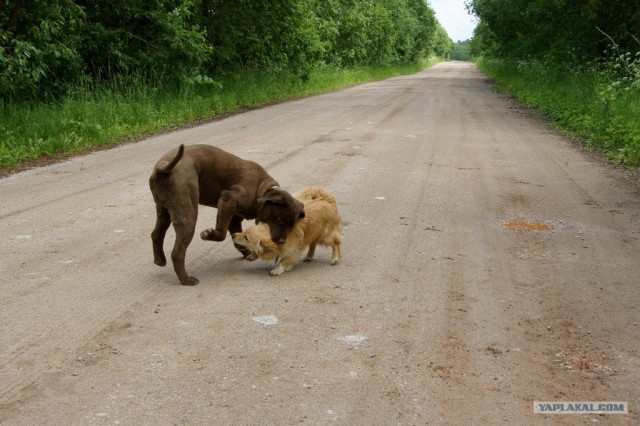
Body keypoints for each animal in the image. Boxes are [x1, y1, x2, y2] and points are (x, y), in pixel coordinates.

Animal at [149, 144, 304, 286]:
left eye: (291, 224)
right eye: (279, 219)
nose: (282, 241)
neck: (263, 189)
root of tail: (162, 168)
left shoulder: (233, 218)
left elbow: (238, 240)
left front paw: (248, 253)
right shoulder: (228, 199)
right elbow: (221, 234)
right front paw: (208, 234)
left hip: (164, 212)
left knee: (156, 234)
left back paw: (159, 260)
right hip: (188, 217)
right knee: (177, 253)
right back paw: (186, 280)